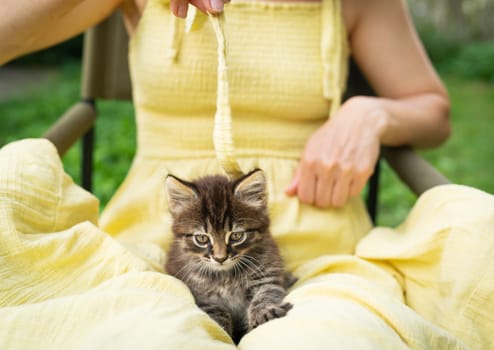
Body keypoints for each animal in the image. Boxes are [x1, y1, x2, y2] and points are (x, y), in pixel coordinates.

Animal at [166, 168, 296, 344]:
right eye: (202, 238)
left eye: (236, 236)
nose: (220, 258)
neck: (226, 276)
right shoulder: (201, 296)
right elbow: (217, 315)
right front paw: (223, 335)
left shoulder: (267, 276)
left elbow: (265, 295)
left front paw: (264, 314)